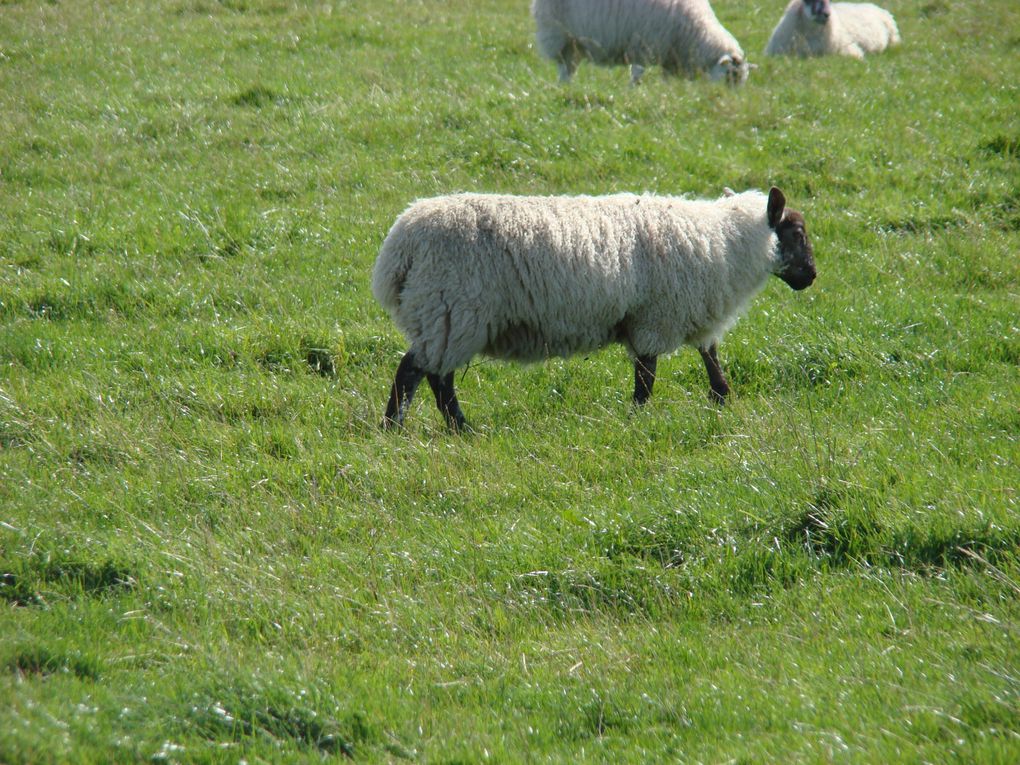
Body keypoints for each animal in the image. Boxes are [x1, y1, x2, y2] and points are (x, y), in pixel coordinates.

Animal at [371, 186, 816, 432]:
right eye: (796, 231)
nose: (811, 276)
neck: (725, 242)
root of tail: (398, 249)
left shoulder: (688, 312)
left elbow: (710, 358)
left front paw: (722, 399)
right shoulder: (656, 316)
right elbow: (647, 377)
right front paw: (637, 418)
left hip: (441, 315)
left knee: (430, 374)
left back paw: (429, 427)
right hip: (452, 310)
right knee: (420, 373)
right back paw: (425, 427)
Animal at [530, 0, 754, 86]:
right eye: (730, 75)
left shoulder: (668, 54)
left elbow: (665, 77)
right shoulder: (645, 43)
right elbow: (637, 71)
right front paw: (632, 90)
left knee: (571, 65)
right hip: (559, 34)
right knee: (564, 66)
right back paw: (564, 86)